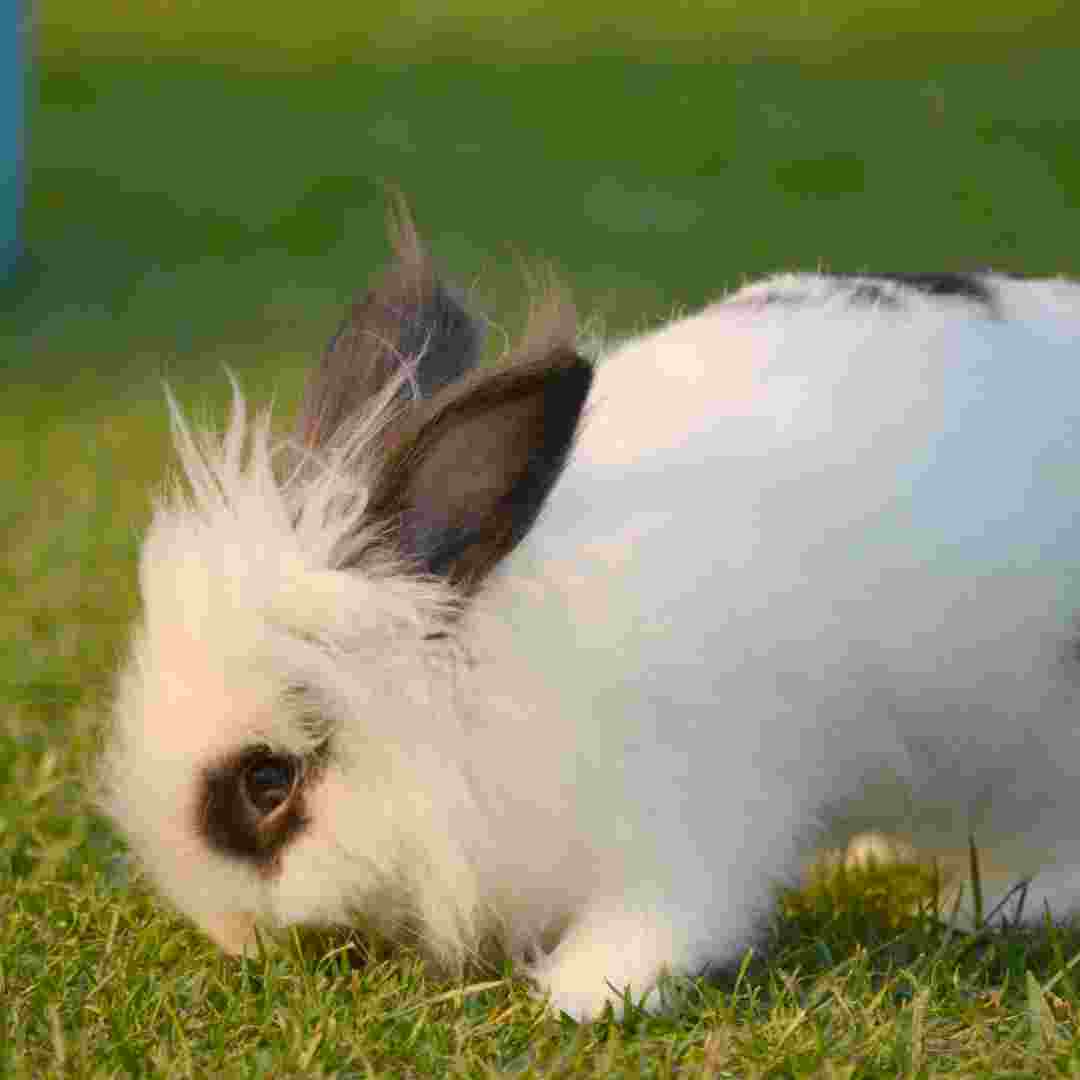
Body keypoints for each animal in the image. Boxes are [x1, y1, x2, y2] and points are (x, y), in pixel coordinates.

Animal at [103, 204, 1080, 1021]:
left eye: (268, 782)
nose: (231, 936)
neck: (484, 697)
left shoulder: (691, 824)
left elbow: (666, 921)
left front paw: (581, 997)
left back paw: (991, 903)